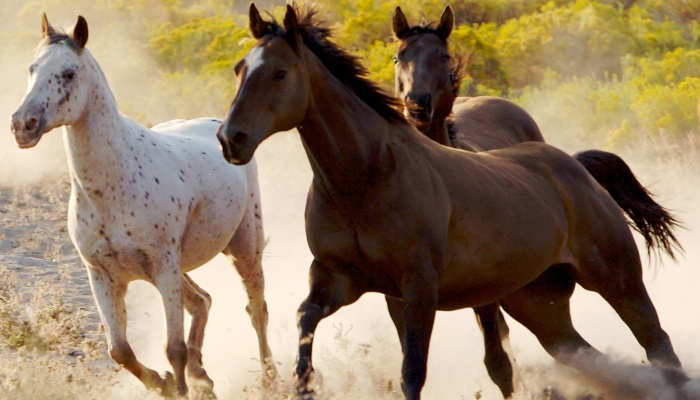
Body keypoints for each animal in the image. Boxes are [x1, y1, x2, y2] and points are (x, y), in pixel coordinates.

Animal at [9, 13, 276, 396]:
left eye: (69, 73)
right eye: (32, 68)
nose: (22, 125)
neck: (115, 186)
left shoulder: (163, 267)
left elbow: (173, 348)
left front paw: (176, 388)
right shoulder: (102, 275)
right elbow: (120, 351)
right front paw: (164, 384)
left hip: (242, 249)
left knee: (256, 309)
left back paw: (270, 379)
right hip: (173, 269)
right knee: (203, 301)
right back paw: (203, 377)